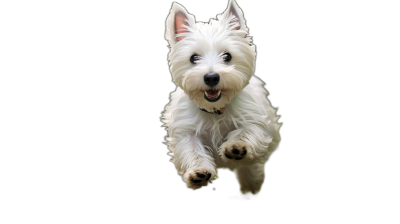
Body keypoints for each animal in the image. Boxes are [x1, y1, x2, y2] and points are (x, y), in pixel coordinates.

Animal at [162, 0, 282, 194]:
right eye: (193, 58)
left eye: (227, 56)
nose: (211, 77)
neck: (214, 110)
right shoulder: (185, 131)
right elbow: (192, 149)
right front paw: (198, 173)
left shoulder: (254, 120)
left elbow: (247, 131)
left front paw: (237, 148)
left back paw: (251, 182)